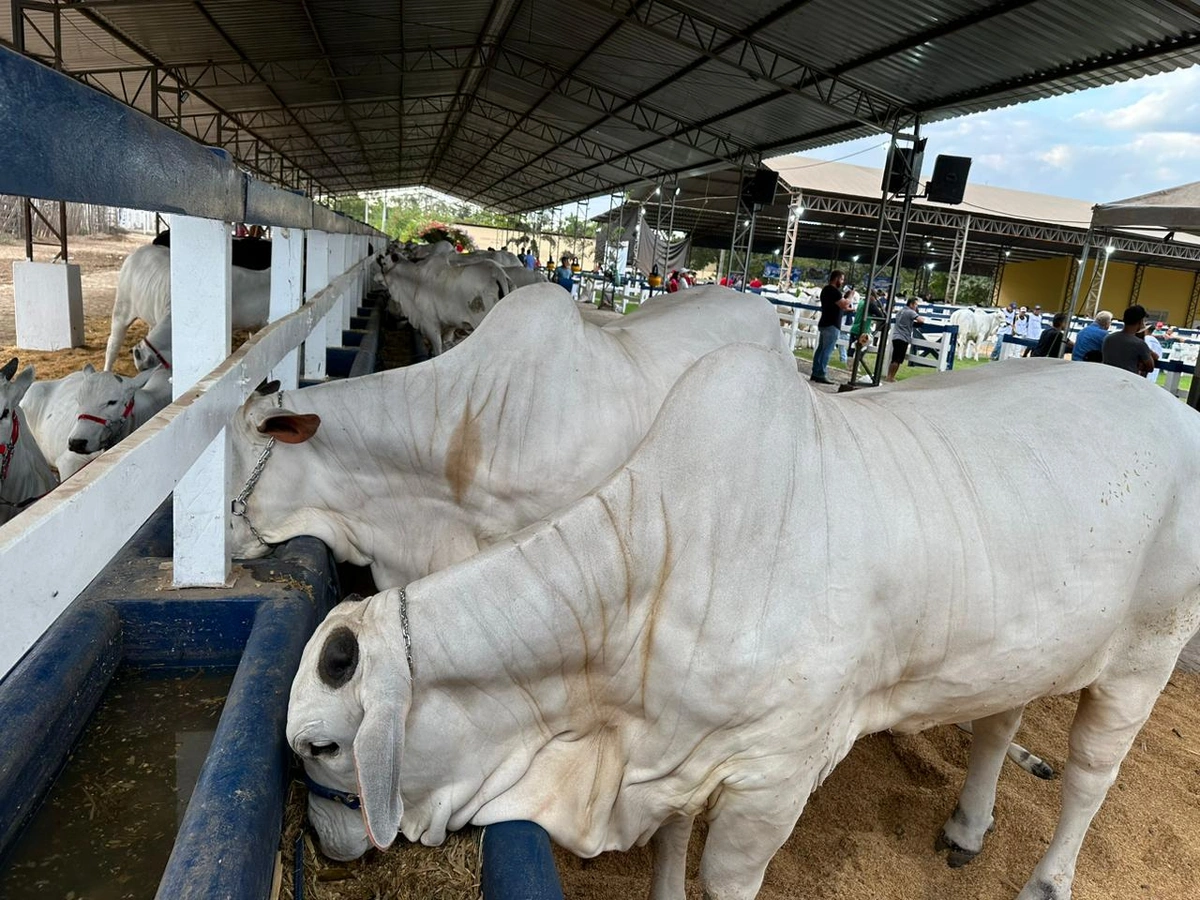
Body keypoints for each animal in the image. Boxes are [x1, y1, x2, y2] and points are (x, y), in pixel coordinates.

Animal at [288, 348, 1200, 900]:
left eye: (324, 746)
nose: (325, 840)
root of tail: (1176, 410)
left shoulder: (775, 776)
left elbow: (726, 878)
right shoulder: (676, 749)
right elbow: (669, 844)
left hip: (1145, 655)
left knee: (1090, 776)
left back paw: (1047, 877)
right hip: (1023, 648)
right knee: (996, 723)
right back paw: (968, 828)